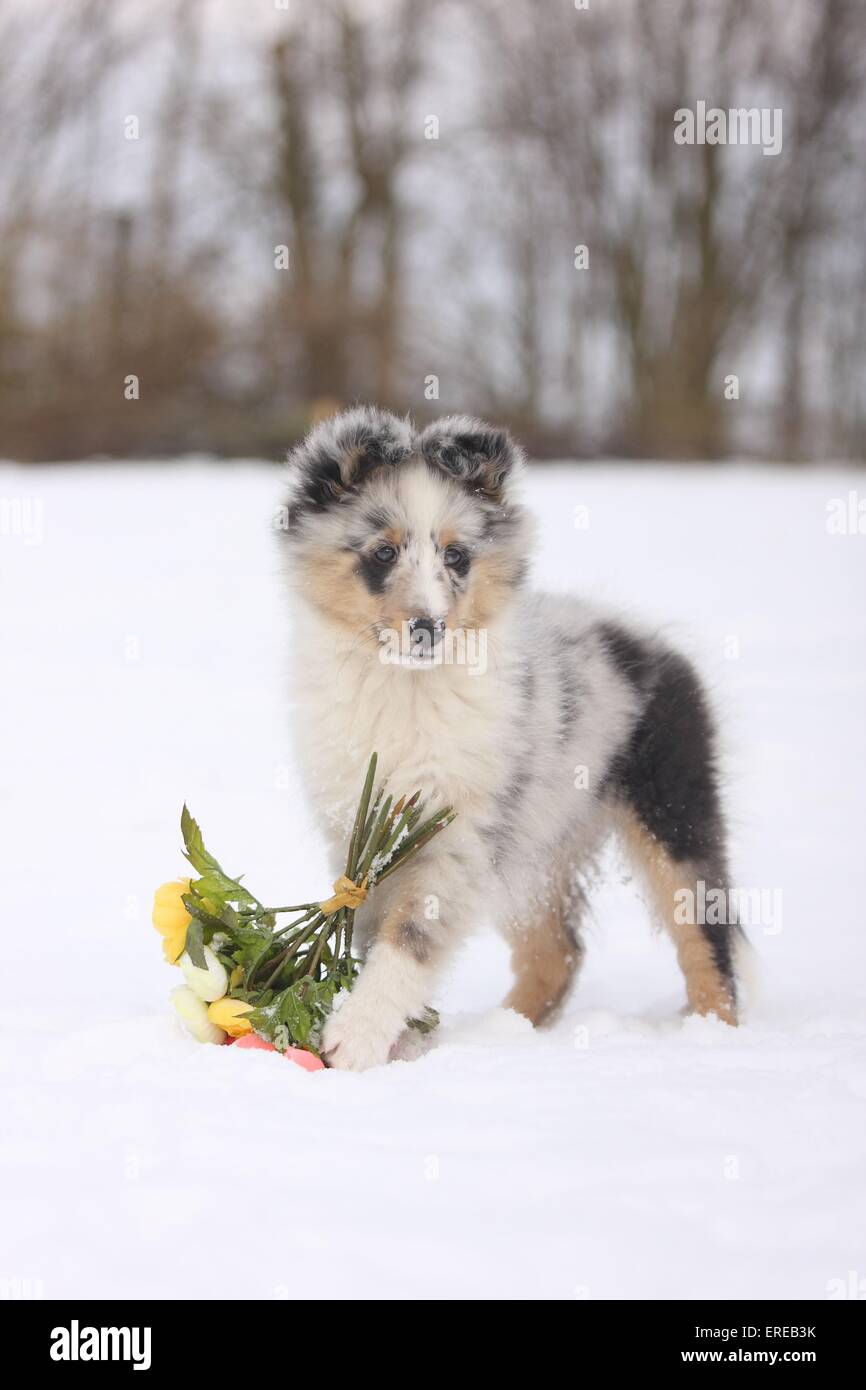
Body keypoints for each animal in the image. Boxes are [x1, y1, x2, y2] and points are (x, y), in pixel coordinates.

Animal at [280, 405, 739, 1067]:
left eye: (458, 557)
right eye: (383, 553)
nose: (428, 628)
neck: (405, 686)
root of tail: (652, 642)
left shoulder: (460, 832)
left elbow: (410, 936)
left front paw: (356, 1036)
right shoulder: (359, 828)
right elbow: (368, 927)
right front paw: (400, 1039)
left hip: (672, 810)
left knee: (707, 932)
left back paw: (716, 1039)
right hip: (537, 844)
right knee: (558, 949)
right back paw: (508, 1032)